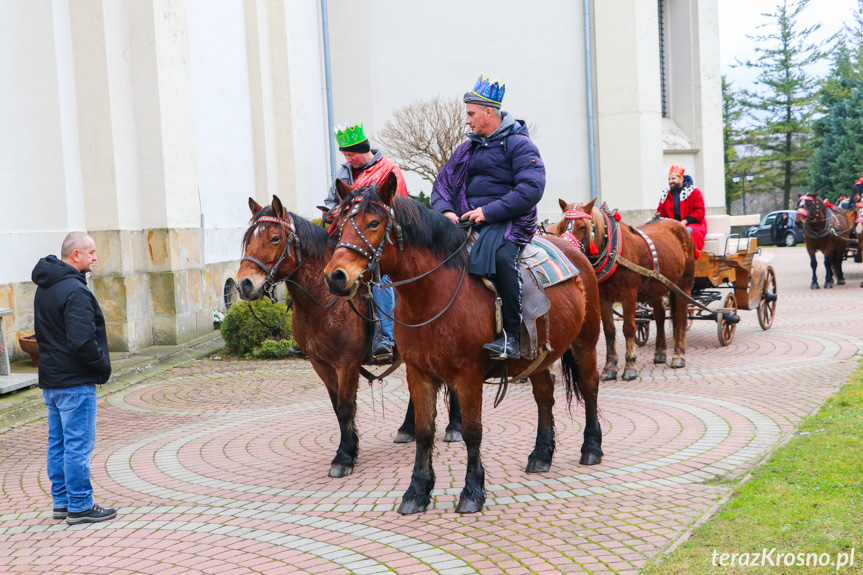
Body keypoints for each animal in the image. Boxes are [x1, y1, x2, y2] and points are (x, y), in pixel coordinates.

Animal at [233, 197, 462, 476]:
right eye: (248, 240)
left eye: (275, 238)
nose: (244, 284)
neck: (323, 301)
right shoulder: (320, 364)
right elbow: (337, 408)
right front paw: (349, 449)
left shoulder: (347, 363)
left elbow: (345, 408)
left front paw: (343, 457)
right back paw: (408, 428)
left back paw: (454, 427)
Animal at [320, 173, 604, 516]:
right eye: (338, 224)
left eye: (374, 223)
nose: (335, 276)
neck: (432, 295)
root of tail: (574, 250)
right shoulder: (418, 373)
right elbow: (424, 432)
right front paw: (416, 491)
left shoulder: (468, 376)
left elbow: (471, 432)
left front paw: (472, 491)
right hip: (539, 356)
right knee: (544, 397)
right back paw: (540, 454)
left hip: (585, 342)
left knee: (589, 387)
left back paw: (591, 447)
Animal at [556, 199, 700, 382]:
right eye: (561, 226)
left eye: (582, 227)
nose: (565, 250)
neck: (613, 251)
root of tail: (679, 226)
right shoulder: (603, 299)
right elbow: (609, 331)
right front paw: (610, 368)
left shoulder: (629, 295)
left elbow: (629, 328)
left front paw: (630, 366)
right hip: (654, 287)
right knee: (660, 314)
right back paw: (660, 353)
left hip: (683, 285)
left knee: (680, 316)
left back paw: (678, 356)